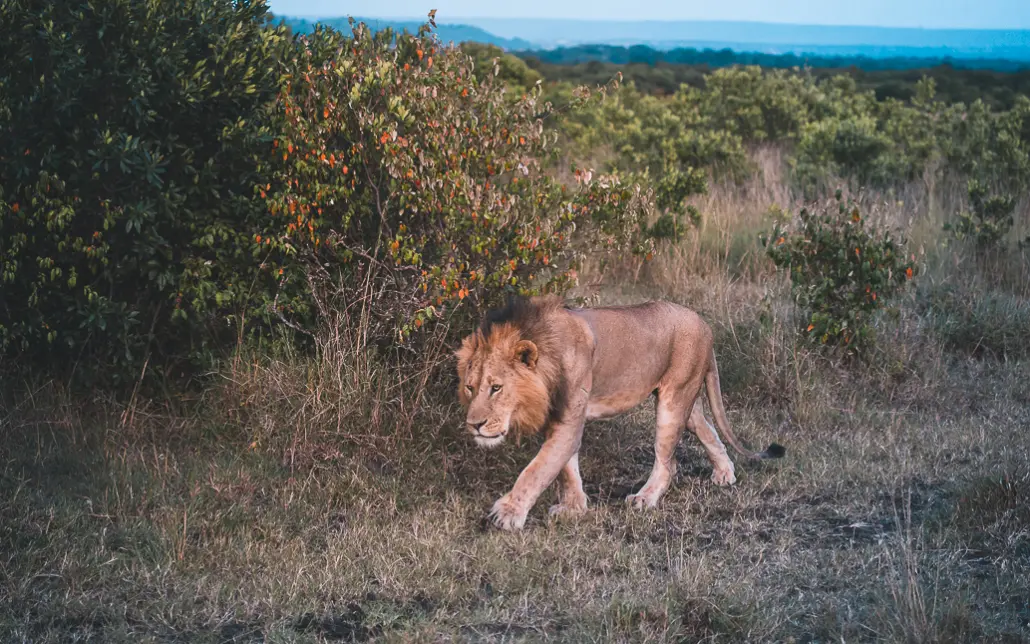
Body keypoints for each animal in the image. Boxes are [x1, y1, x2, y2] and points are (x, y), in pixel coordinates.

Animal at [455, 294, 782, 531]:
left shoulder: (569, 419)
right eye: (470, 387)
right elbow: (565, 468)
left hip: (673, 401)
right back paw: (725, 473)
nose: (474, 425)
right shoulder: (559, 417)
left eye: (496, 388)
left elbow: (538, 468)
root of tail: (704, 324)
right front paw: (574, 507)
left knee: (668, 462)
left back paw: (645, 499)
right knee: (707, 429)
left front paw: (507, 514)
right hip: (685, 397)